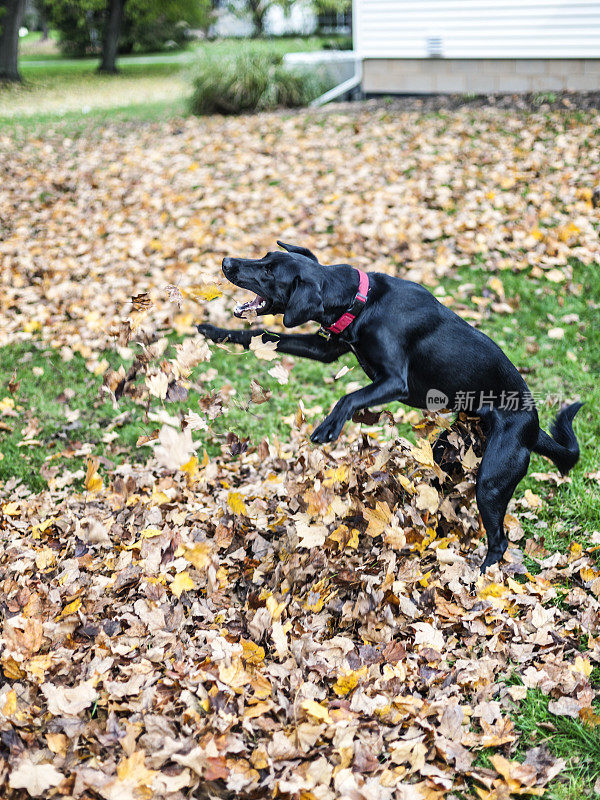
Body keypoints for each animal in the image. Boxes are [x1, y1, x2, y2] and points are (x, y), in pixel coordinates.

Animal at [198, 241, 580, 572]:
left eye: (269, 271)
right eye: (264, 257)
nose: (226, 263)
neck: (362, 301)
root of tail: (533, 425)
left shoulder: (395, 380)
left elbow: (349, 396)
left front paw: (328, 427)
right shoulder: (326, 348)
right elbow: (261, 335)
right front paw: (215, 331)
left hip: (491, 480)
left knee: (499, 540)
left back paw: (481, 577)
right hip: (447, 453)